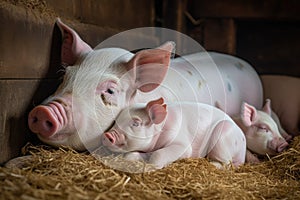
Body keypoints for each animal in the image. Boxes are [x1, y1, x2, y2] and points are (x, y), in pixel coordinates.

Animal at [101, 97, 246, 169]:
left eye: (136, 123)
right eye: (116, 120)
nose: (107, 135)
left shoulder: (182, 144)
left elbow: (159, 154)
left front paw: (151, 168)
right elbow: (131, 155)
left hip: (223, 138)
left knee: (226, 164)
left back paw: (211, 164)